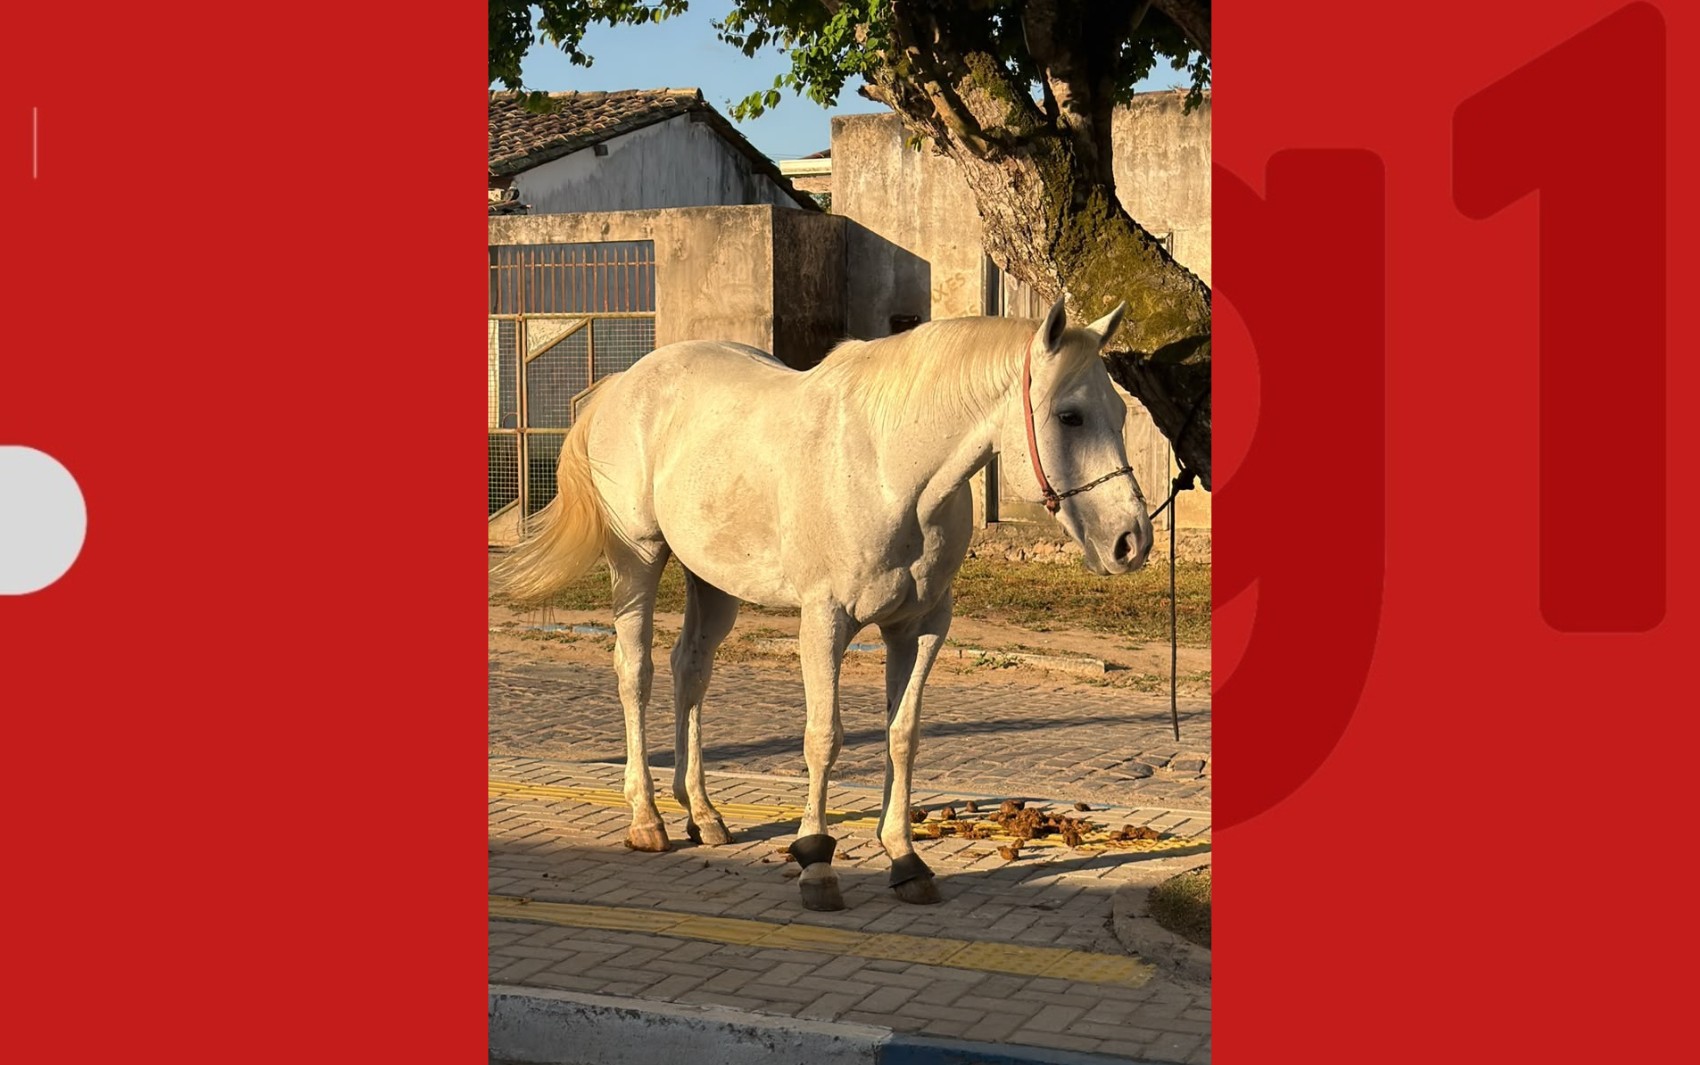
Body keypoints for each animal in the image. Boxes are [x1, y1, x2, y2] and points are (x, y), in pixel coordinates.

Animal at [495, 297, 1153, 911]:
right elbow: (823, 737)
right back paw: (647, 819)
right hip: (637, 560)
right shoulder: (824, 621)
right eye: (1069, 416)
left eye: (1121, 412)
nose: (1132, 541)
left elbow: (902, 735)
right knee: (636, 672)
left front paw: (905, 859)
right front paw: (816, 861)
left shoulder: (921, 627)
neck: (889, 470)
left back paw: (703, 813)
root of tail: (621, 385)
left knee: (690, 671)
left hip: (713, 581)